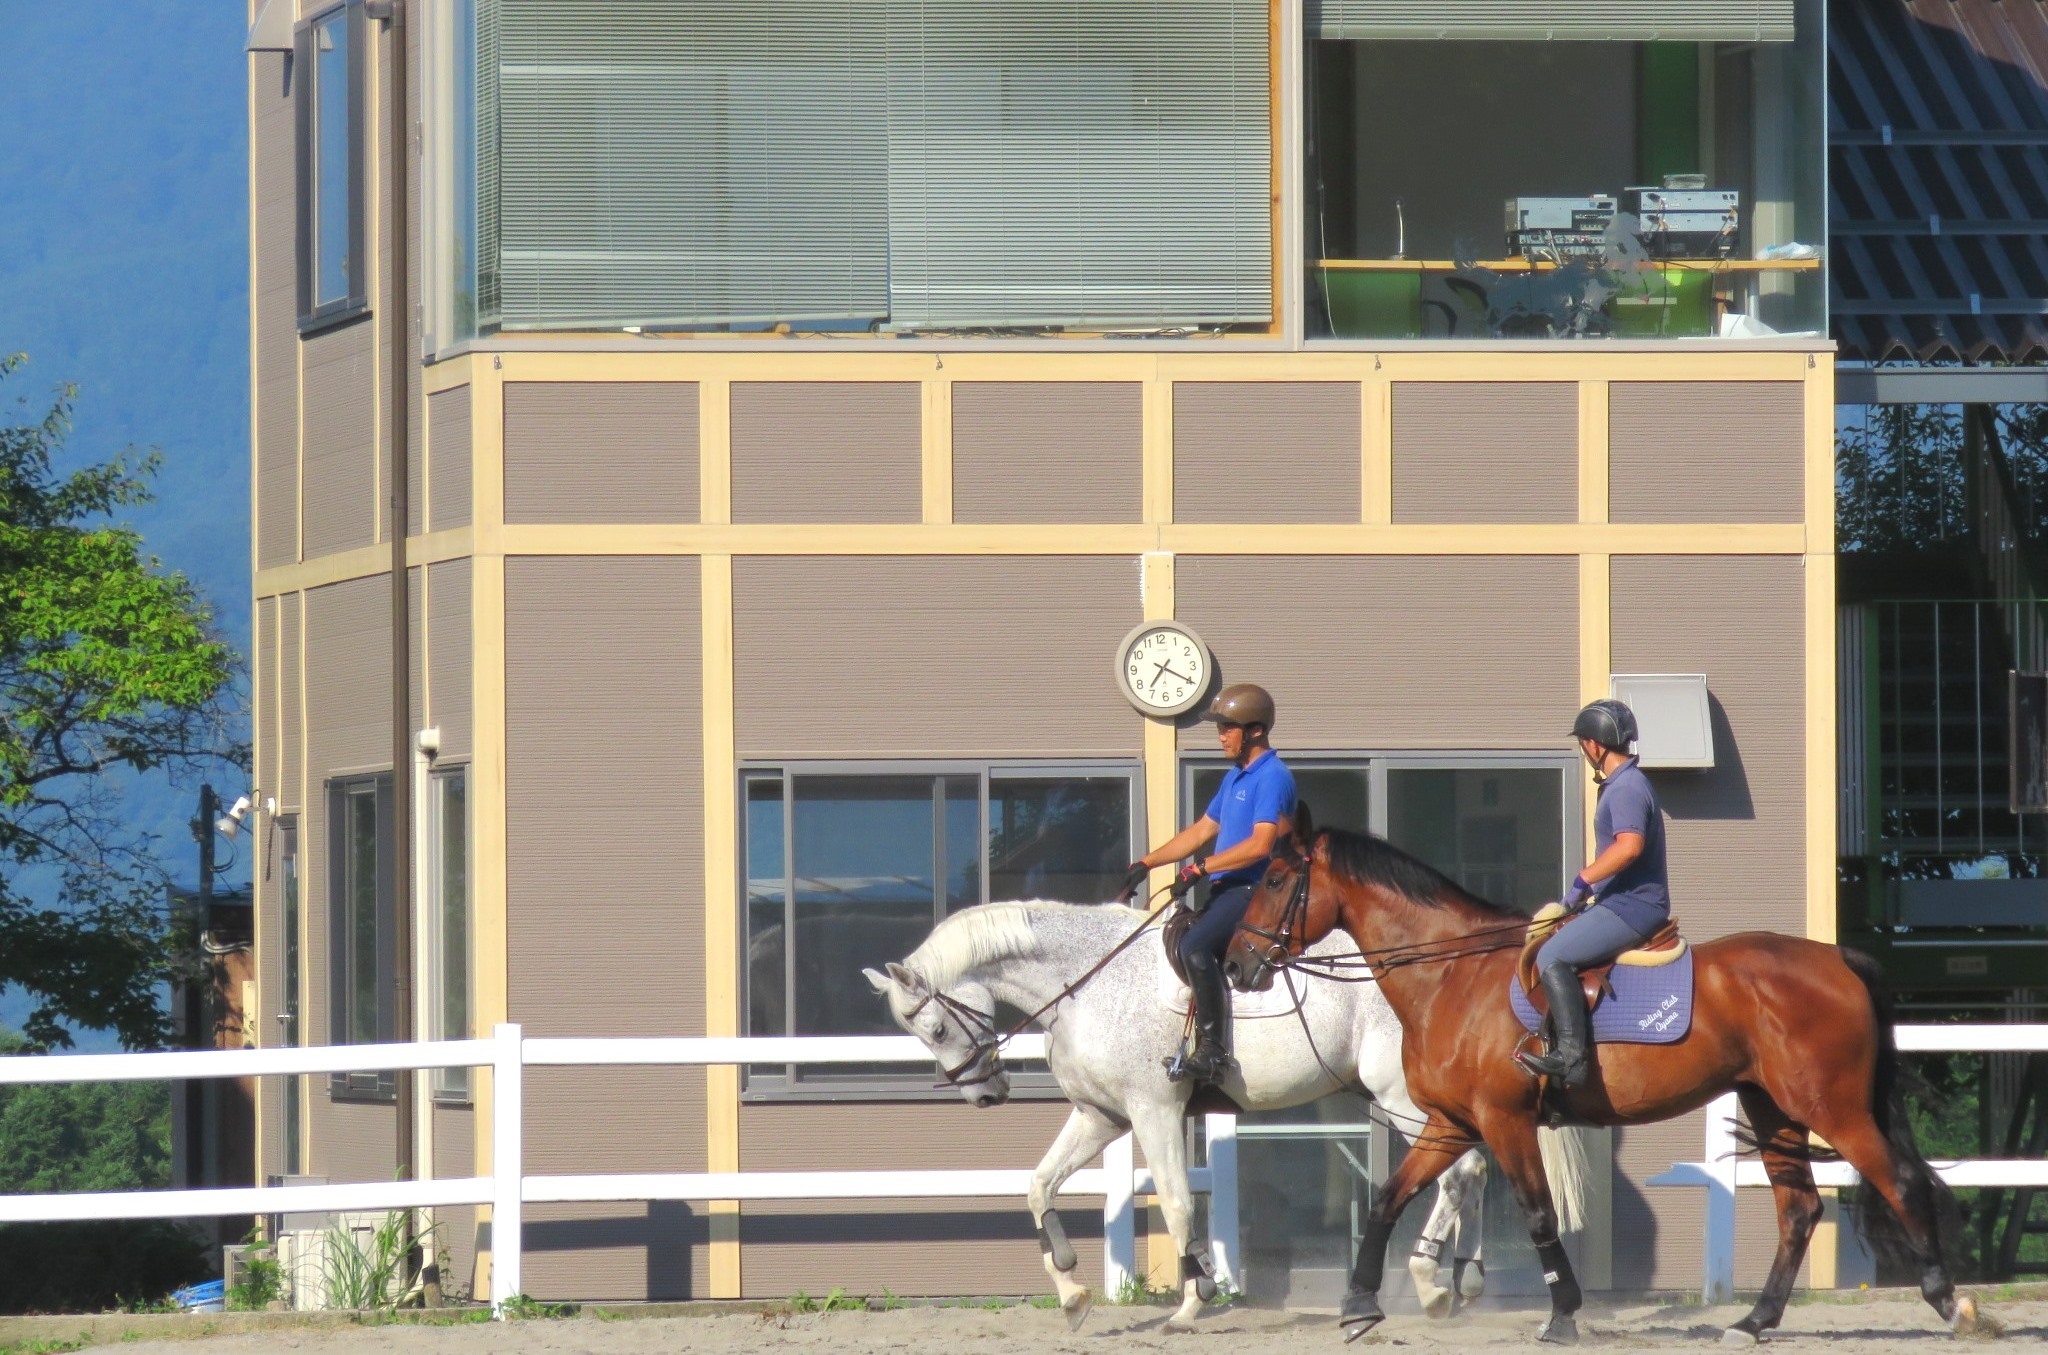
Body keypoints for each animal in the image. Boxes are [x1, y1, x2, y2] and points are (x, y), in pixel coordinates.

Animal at [872, 908, 1589, 1334]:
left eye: (936, 1027)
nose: (984, 1093)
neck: (1089, 981)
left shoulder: (1153, 1110)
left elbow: (1178, 1202)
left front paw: (1194, 1299)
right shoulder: (1101, 1116)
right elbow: (1039, 1184)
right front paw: (1072, 1291)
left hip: (1404, 1099)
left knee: (1462, 1172)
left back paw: (1434, 1284)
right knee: (1474, 1172)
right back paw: (1461, 1277)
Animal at [1220, 826, 1974, 1350]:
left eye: (1276, 878)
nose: (1235, 964)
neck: (1453, 975)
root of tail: (1834, 956)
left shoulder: (1503, 1119)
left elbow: (1537, 1215)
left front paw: (1562, 1315)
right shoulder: (1451, 1123)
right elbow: (1386, 1198)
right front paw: (1358, 1306)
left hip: (1831, 1107)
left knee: (1900, 1183)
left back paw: (1951, 1302)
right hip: (1774, 1109)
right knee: (1799, 1210)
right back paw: (1754, 1320)